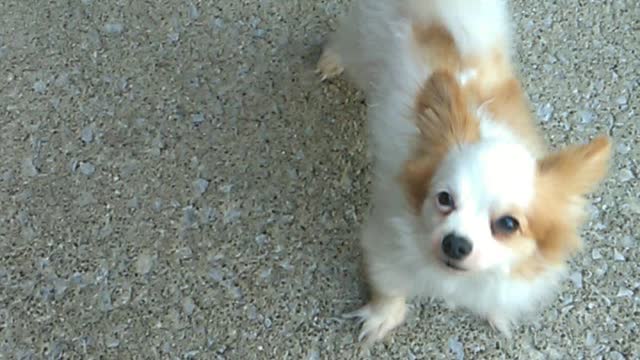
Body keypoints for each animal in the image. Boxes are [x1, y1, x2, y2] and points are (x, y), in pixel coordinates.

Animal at [318, 0, 612, 344]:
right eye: (444, 198)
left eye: (508, 224)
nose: (455, 243)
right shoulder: (387, 245)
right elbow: (389, 286)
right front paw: (382, 318)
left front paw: (498, 315)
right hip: (363, 39)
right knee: (345, 41)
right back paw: (331, 60)